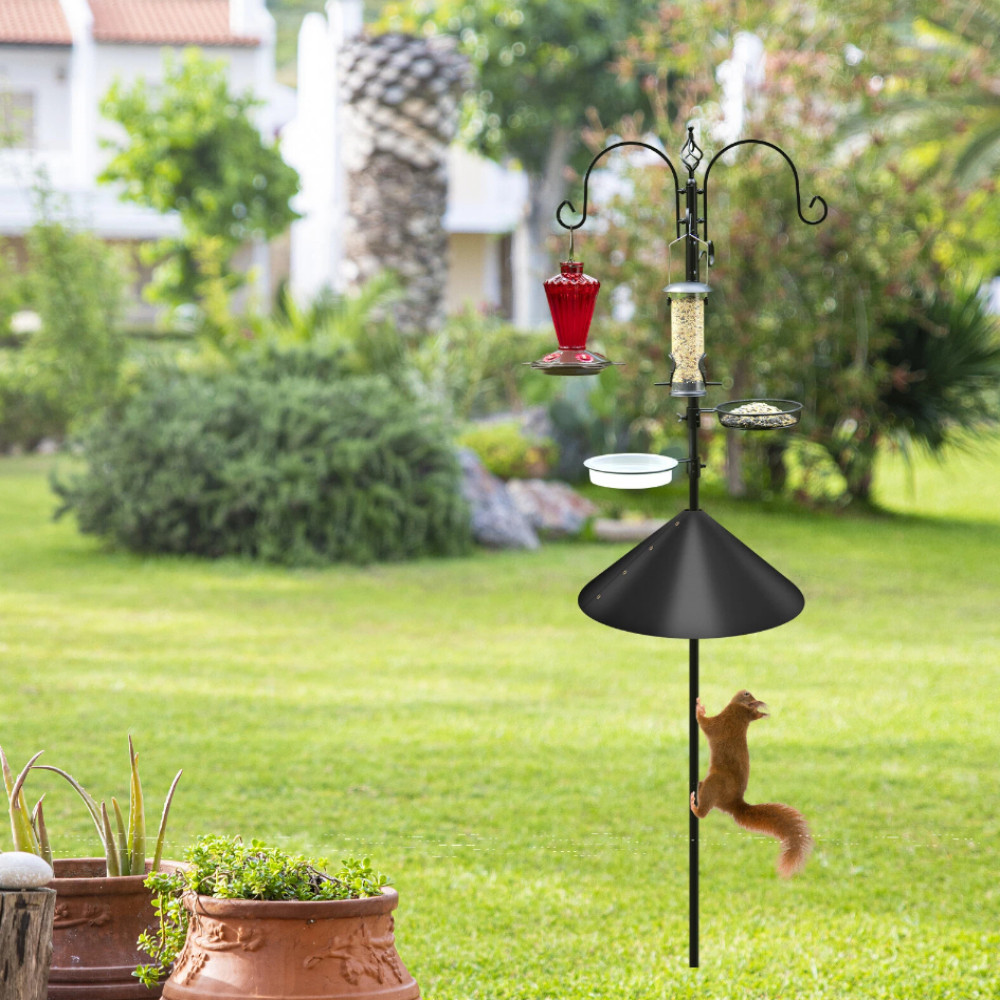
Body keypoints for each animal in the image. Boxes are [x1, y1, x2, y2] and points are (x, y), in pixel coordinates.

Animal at [690, 690, 812, 878]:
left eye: (746, 694)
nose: (743, 691)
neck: (740, 718)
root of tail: (734, 803)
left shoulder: (720, 724)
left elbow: (704, 723)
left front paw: (699, 707)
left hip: (715, 784)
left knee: (702, 812)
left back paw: (694, 803)